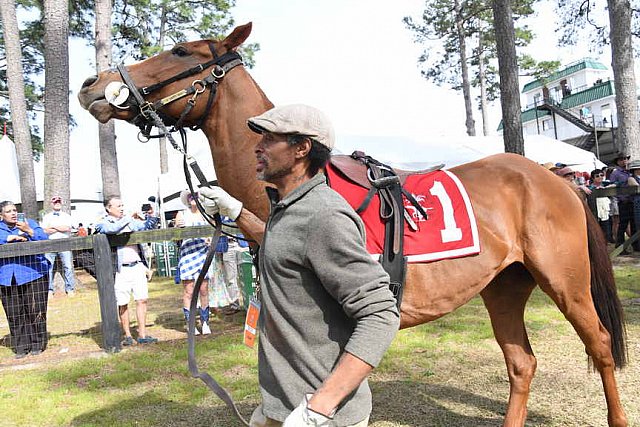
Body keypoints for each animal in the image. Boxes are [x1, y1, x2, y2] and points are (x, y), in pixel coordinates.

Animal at [77, 23, 628, 427]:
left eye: (179, 50)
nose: (91, 84)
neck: (304, 182)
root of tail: (555, 180)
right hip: (504, 286)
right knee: (521, 363)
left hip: (566, 282)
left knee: (600, 345)